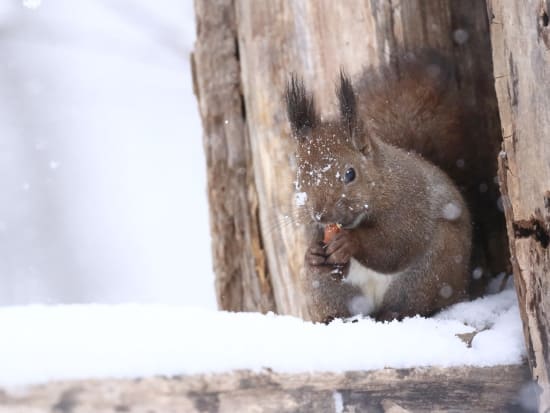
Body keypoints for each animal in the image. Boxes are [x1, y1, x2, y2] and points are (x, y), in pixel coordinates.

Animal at [286, 53, 472, 322]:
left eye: (350, 174)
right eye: (298, 180)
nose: (320, 214)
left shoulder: (409, 204)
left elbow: (394, 245)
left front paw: (349, 243)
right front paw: (312, 255)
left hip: (428, 272)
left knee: (409, 304)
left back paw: (392, 313)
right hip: (328, 291)